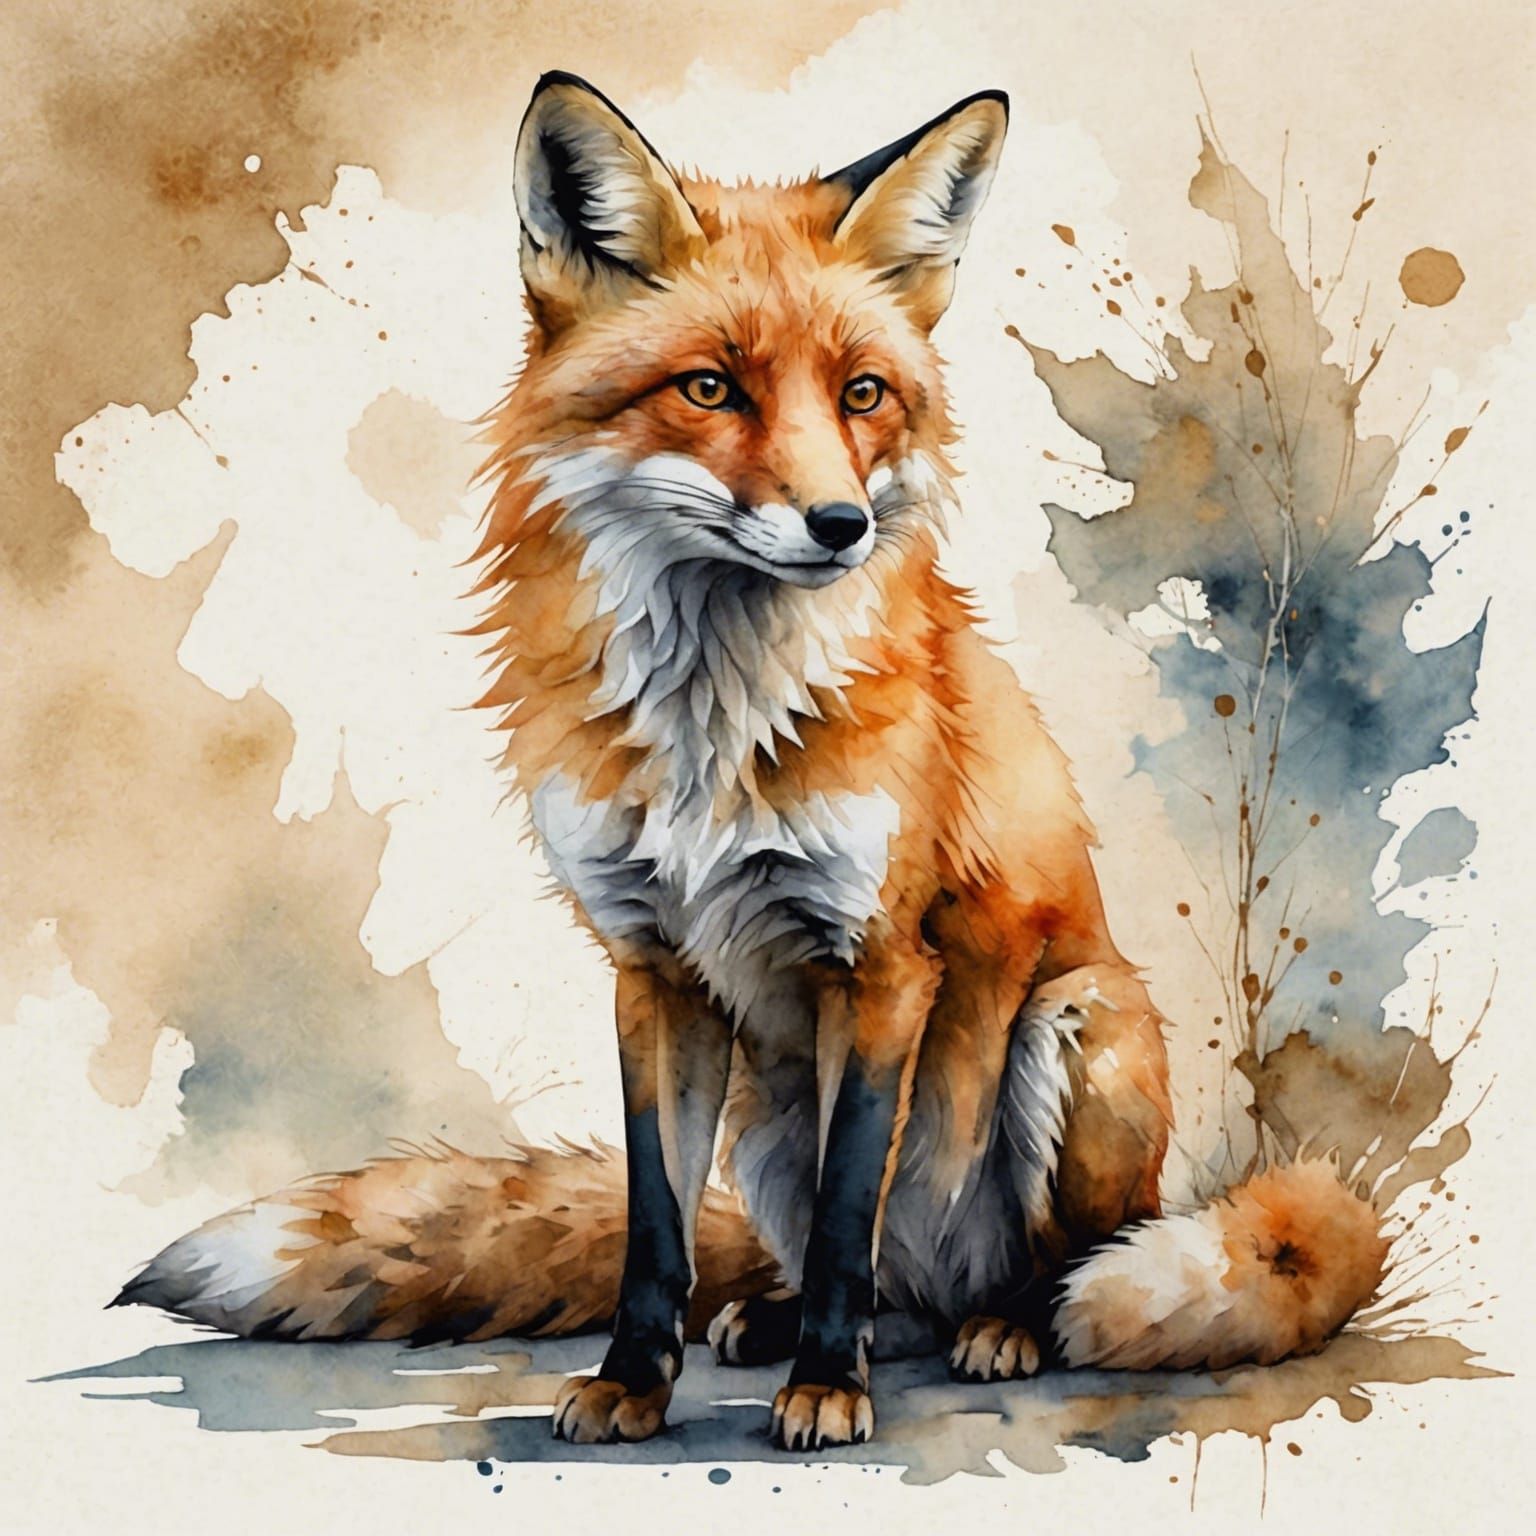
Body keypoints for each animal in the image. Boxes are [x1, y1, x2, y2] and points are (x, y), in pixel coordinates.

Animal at [114, 73, 1390, 1452]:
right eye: (712, 389)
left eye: (865, 395)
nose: (841, 525)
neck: (713, 735)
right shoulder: (650, 968)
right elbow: (657, 1231)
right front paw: (634, 1381)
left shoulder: (882, 966)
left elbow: (846, 1215)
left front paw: (827, 1391)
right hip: (762, 1126)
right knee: (875, 1285)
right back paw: (792, 1322)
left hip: (1075, 1031)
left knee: (1041, 1265)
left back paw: (995, 1328)